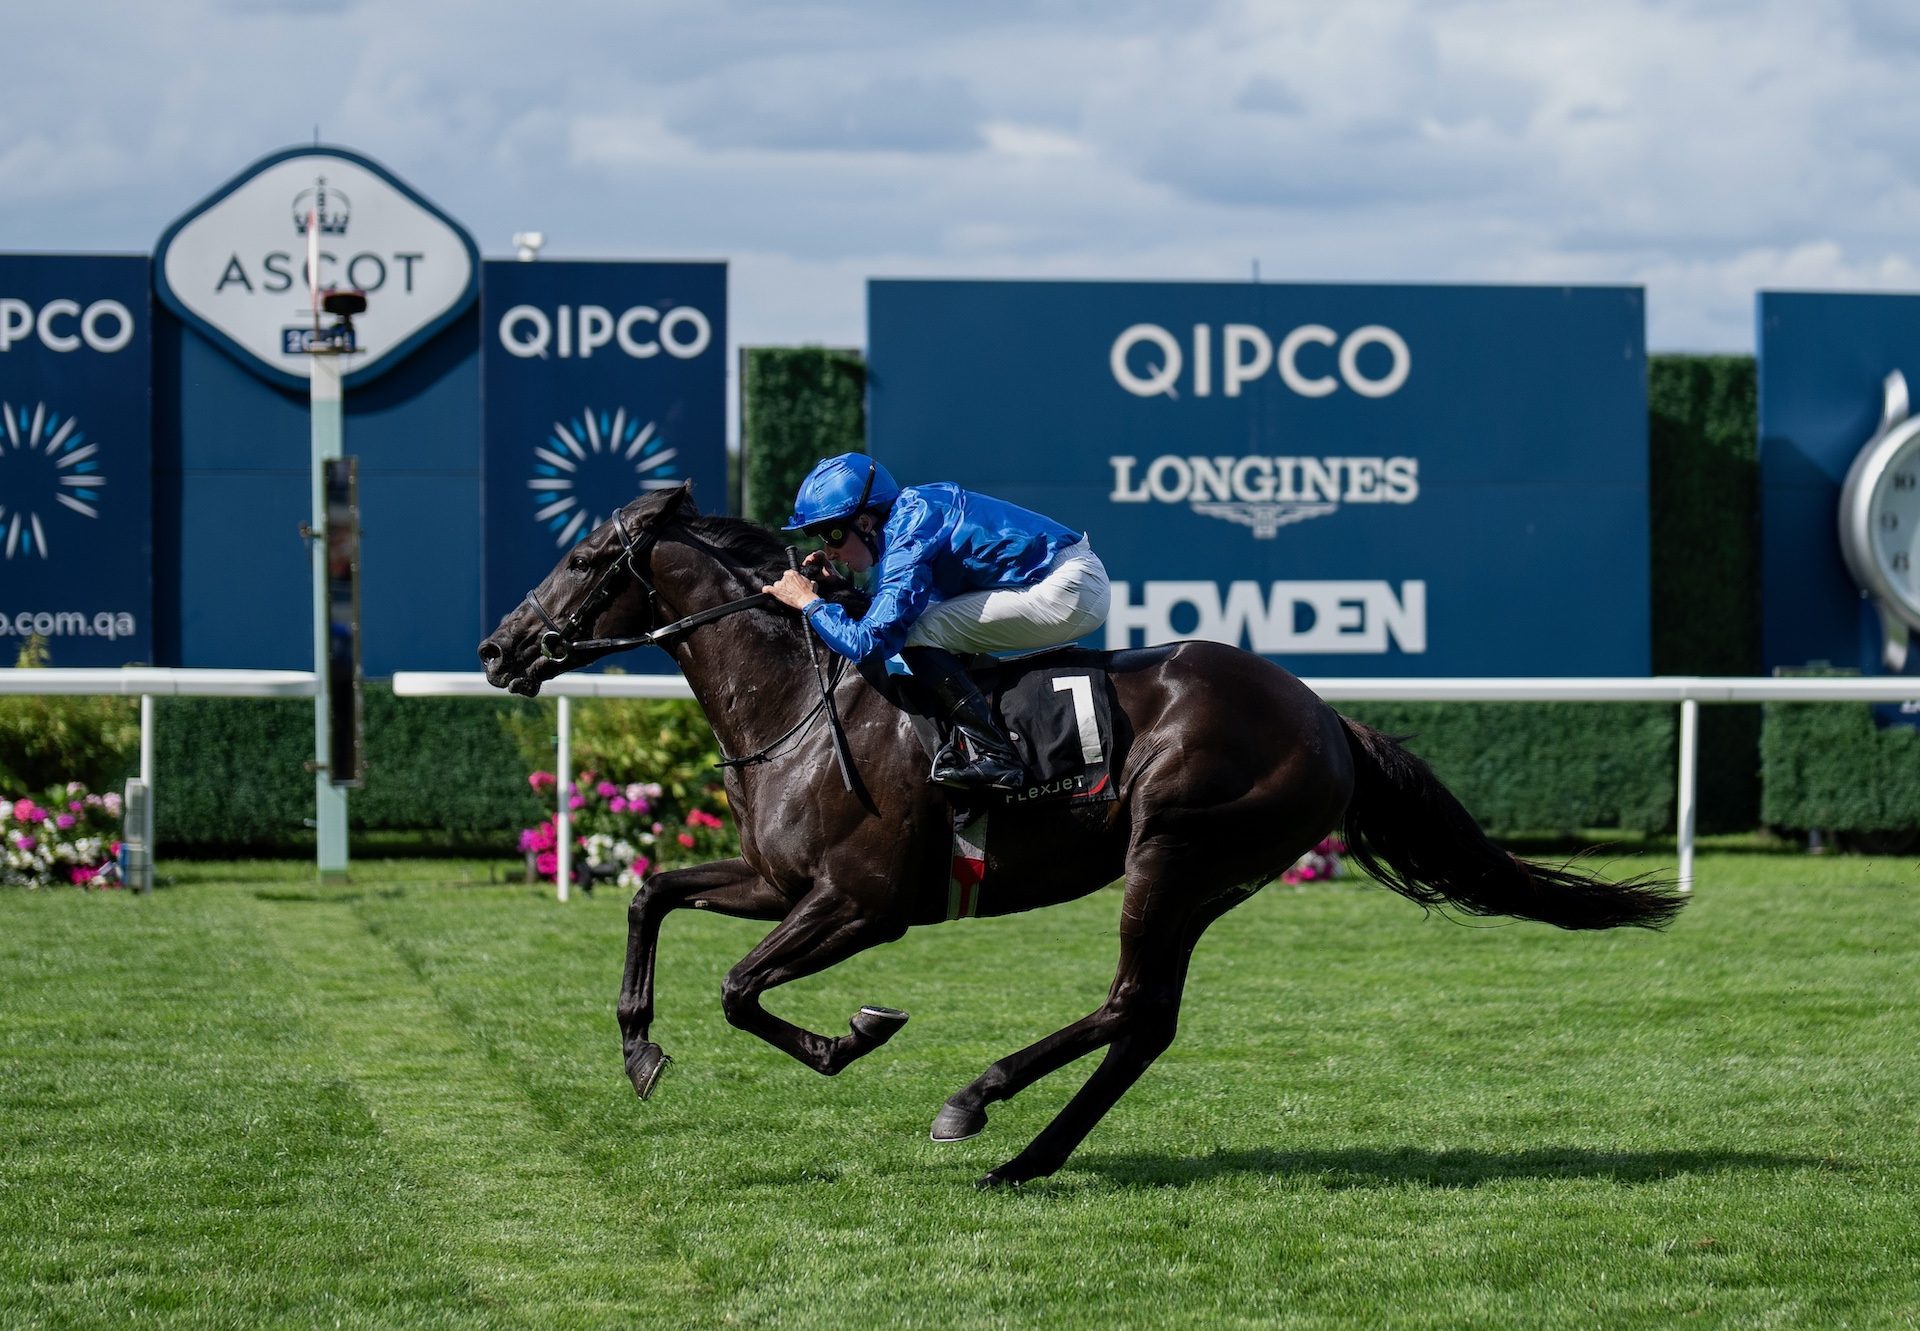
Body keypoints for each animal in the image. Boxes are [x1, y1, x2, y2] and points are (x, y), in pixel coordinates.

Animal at [476, 485, 1681, 1183]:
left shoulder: (862, 904)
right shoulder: (781, 880)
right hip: (1202, 877)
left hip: (1175, 851)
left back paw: (978, 1105)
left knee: (1131, 1003)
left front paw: (855, 1033)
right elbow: (653, 894)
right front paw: (639, 1046)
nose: (497, 648)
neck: (802, 703)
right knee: (1146, 1021)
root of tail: (1325, 715)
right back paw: (1027, 1153)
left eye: (581, 558)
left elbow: (738, 987)